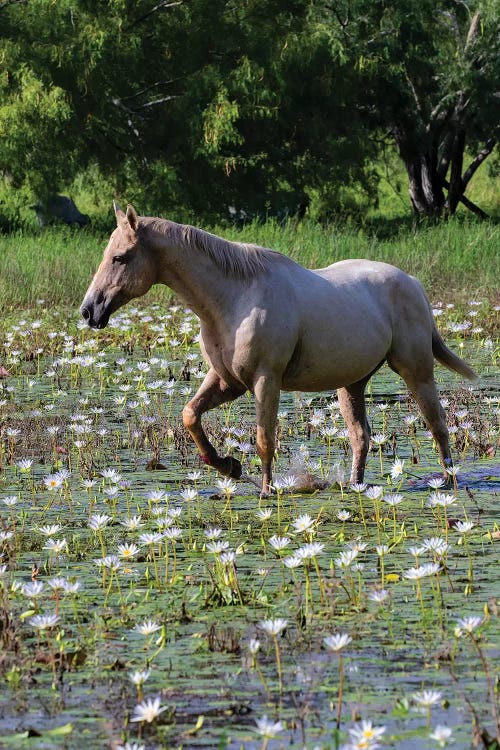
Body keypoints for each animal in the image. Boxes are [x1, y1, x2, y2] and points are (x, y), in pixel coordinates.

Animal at [81, 206, 476, 500]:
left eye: (120, 257)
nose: (89, 311)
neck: (234, 299)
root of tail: (412, 283)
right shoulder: (226, 381)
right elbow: (190, 416)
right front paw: (228, 466)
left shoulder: (265, 380)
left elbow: (264, 439)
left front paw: (266, 491)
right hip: (352, 383)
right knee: (360, 436)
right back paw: (355, 485)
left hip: (416, 371)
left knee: (438, 425)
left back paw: (449, 481)